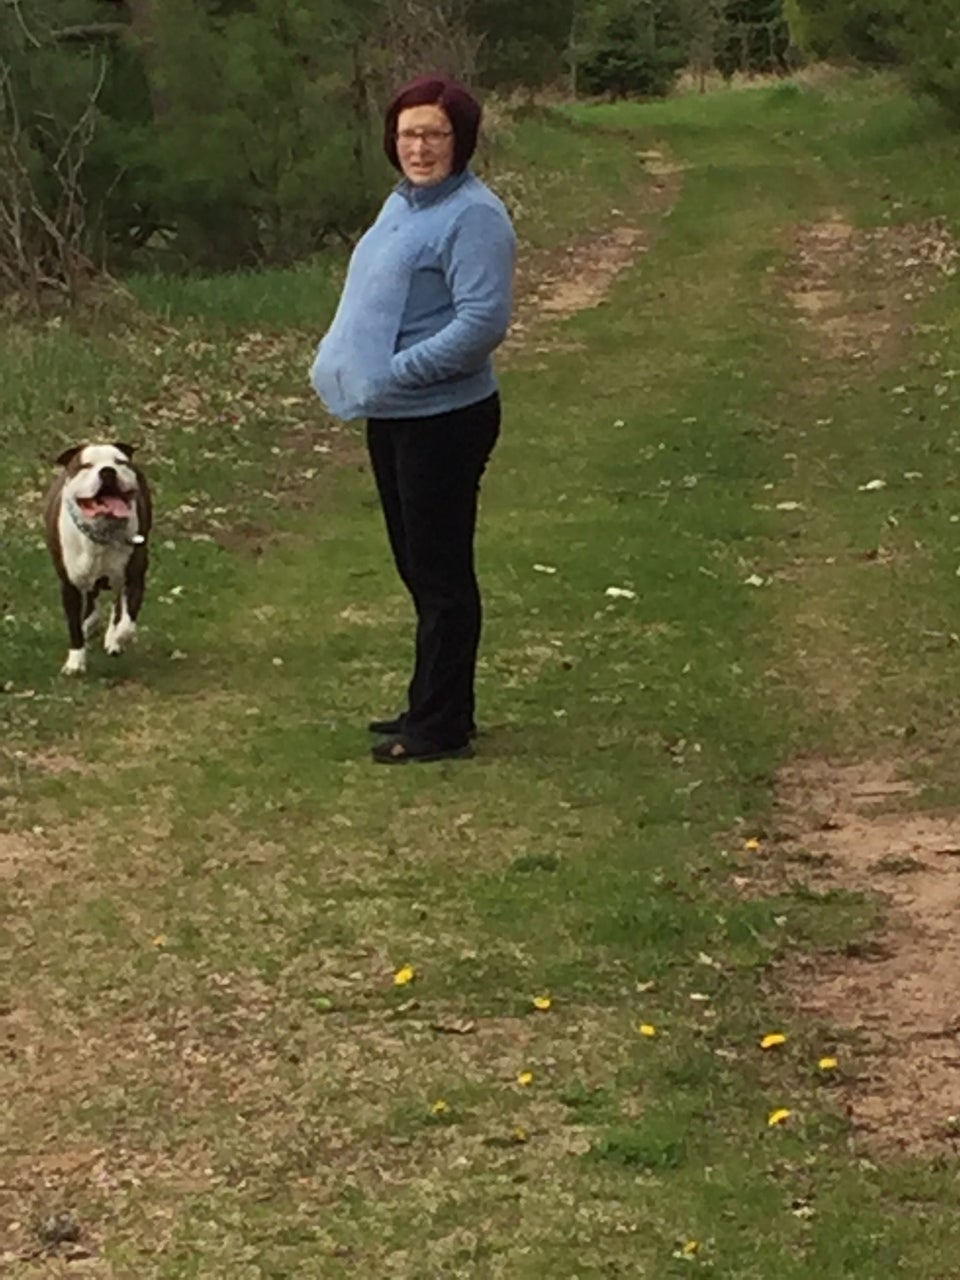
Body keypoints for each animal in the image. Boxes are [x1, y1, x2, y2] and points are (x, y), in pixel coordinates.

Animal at [44, 442, 152, 675]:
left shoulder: (134, 577)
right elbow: (74, 626)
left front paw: (116, 638)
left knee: (116, 602)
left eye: (119, 462)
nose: (107, 471)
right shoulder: (69, 586)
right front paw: (75, 661)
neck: (102, 533)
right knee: (92, 595)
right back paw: (90, 623)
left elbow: (127, 622)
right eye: (86, 465)